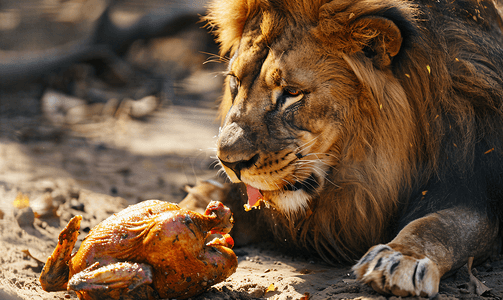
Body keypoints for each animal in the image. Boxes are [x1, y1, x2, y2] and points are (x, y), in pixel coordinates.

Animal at [203, 0, 503, 296]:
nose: (228, 162)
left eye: (291, 92)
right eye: (235, 81)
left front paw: (400, 259)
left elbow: (439, 227)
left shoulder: (475, 191)